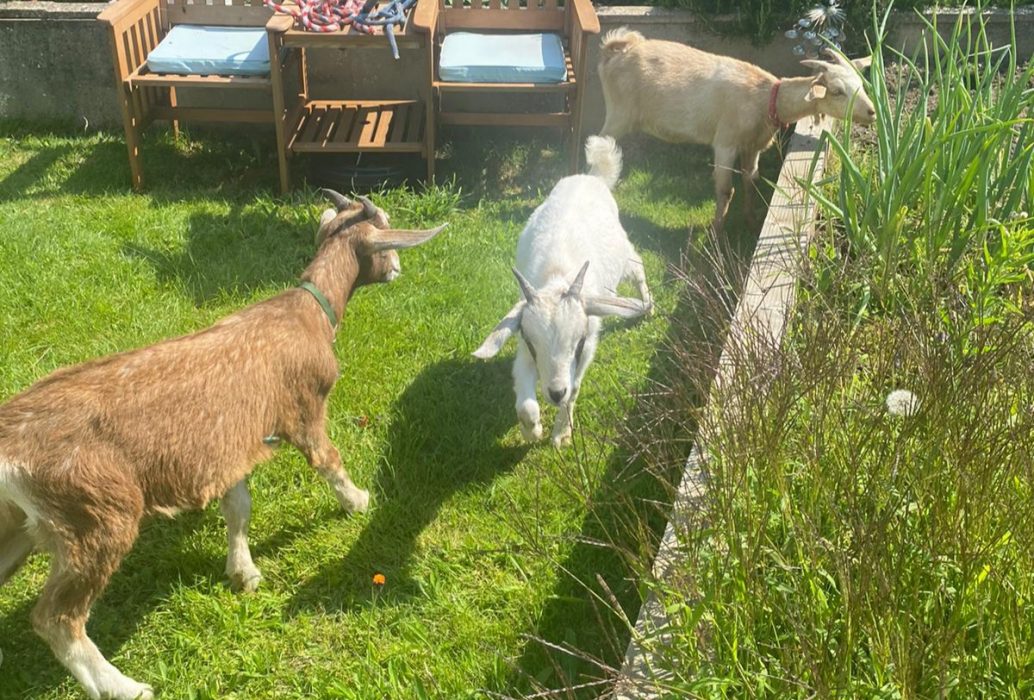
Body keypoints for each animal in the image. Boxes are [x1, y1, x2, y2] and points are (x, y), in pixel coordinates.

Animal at [0, 192, 445, 700]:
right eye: (388, 233)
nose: (397, 270)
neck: (307, 311)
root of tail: (8, 444)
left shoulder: (232, 446)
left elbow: (238, 507)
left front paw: (242, 572)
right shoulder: (304, 410)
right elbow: (327, 461)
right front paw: (357, 501)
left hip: (20, 525)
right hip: (93, 515)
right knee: (56, 618)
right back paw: (121, 686)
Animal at [473, 136, 652, 448]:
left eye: (578, 343)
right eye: (534, 344)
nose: (556, 393)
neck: (557, 277)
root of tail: (591, 177)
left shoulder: (588, 346)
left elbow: (576, 387)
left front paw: (561, 434)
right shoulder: (523, 346)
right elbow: (525, 404)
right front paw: (533, 431)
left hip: (625, 253)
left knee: (638, 267)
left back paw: (648, 305)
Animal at [598, 28, 876, 233]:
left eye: (861, 84)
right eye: (837, 91)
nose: (873, 112)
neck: (765, 99)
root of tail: (617, 50)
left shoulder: (752, 146)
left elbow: (750, 180)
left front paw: (751, 221)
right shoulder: (726, 143)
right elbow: (725, 190)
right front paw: (716, 233)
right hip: (618, 113)